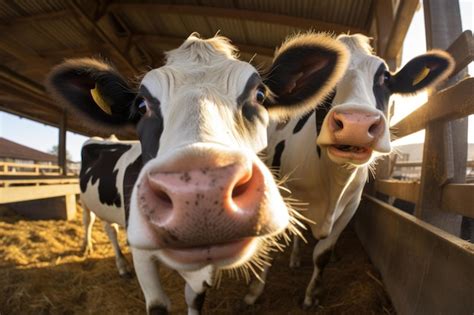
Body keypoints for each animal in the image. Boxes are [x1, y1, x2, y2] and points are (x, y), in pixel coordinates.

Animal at [46, 33, 350, 314]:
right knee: (94, 224)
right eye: (141, 106)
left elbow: (195, 299)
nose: (201, 192)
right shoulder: (143, 256)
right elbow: (158, 305)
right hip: (86, 201)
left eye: (260, 95)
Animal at [243, 34, 454, 308]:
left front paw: (312, 295)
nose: (357, 123)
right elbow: (270, 243)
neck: (333, 183)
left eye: (386, 78)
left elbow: (321, 254)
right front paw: (254, 291)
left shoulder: (349, 208)